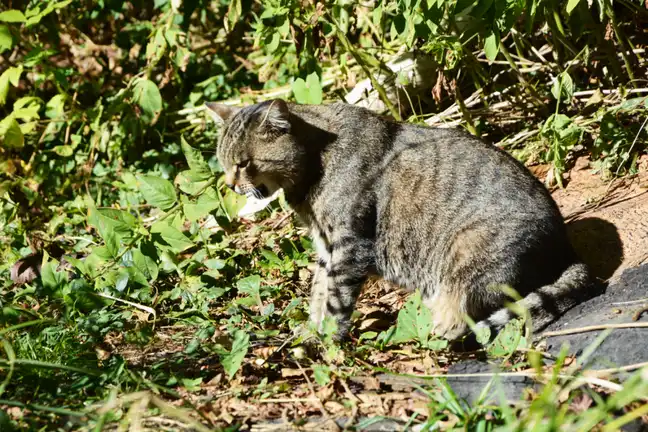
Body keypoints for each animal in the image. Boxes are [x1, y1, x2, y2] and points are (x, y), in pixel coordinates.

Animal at [205, 98, 588, 340]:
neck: (315, 161)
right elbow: (317, 293)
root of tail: (568, 251)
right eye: (223, 163)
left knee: (465, 315)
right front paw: (311, 330)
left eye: (243, 163)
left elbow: (335, 299)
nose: (230, 185)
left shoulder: (350, 246)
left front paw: (326, 339)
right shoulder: (327, 248)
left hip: (467, 253)